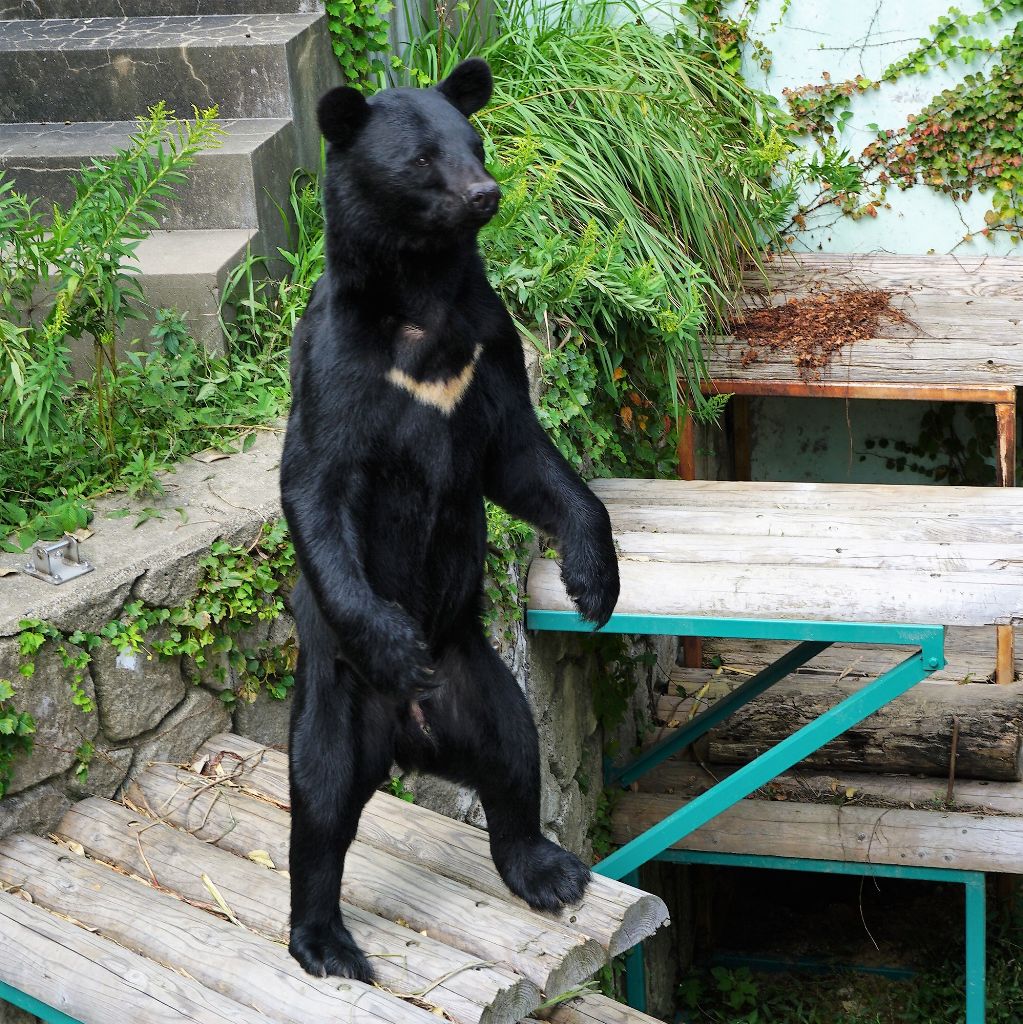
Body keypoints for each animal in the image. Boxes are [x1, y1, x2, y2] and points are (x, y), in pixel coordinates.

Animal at [276, 58, 618, 983]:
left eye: (475, 142)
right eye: (422, 160)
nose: (484, 193)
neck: (421, 296)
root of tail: (409, 741)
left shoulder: (487, 348)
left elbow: (523, 460)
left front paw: (592, 581)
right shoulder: (335, 365)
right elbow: (315, 484)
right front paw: (393, 637)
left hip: (482, 683)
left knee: (515, 760)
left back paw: (547, 869)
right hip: (338, 697)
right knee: (320, 802)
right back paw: (325, 942)